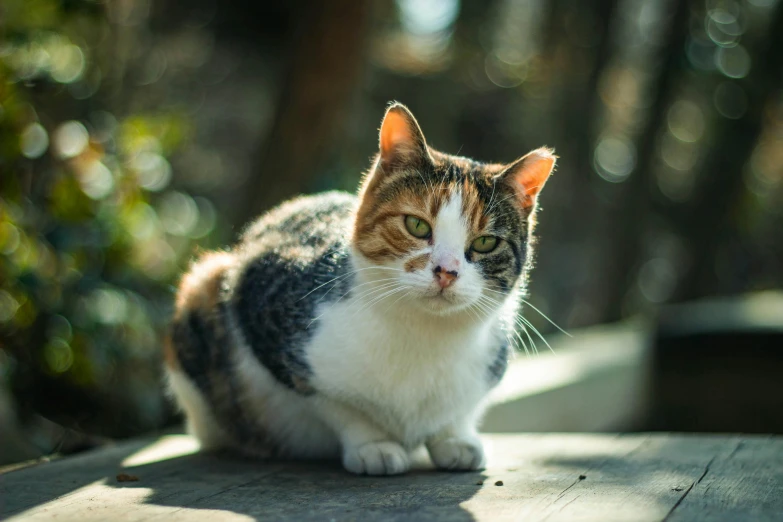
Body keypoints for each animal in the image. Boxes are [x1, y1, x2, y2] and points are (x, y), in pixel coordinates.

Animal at [164, 102, 556, 476]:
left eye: (486, 243)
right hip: (203, 285)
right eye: (416, 225)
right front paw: (373, 445)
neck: (423, 335)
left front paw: (454, 438)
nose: (446, 271)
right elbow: (338, 405)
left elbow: (456, 415)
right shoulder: (264, 301)